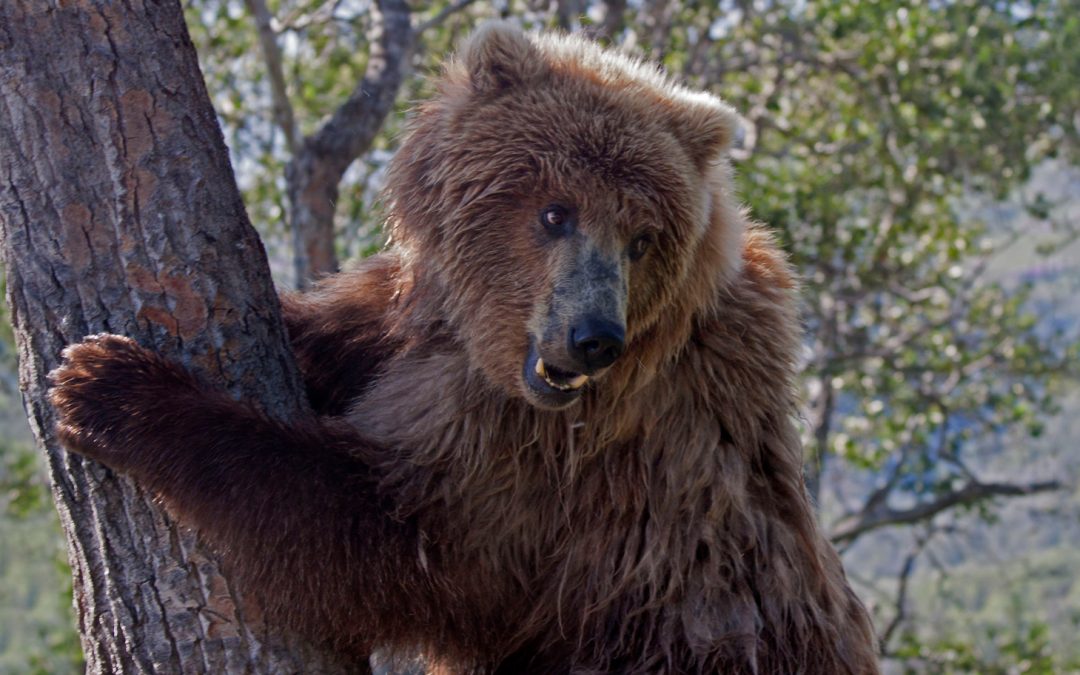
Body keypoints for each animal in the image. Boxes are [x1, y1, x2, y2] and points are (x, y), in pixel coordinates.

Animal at [49, 22, 880, 675]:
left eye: (642, 239)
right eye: (555, 211)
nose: (594, 337)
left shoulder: (562, 465)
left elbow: (385, 531)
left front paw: (106, 382)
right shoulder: (431, 336)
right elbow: (347, 342)